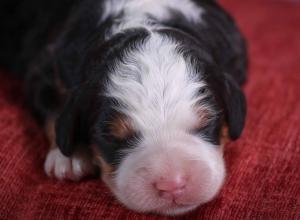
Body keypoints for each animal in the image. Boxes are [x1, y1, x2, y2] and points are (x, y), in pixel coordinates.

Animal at [0, 0, 247, 217]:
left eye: (207, 123)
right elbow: (54, 111)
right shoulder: (46, 68)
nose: (171, 185)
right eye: (112, 136)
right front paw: (68, 157)